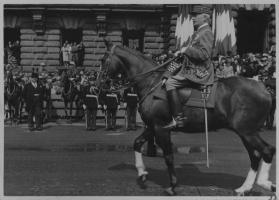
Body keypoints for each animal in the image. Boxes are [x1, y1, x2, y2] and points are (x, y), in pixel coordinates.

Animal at [102, 40, 276, 195]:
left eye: (104, 61)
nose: (100, 84)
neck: (152, 83)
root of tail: (264, 88)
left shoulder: (160, 128)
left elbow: (168, 156)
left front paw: (172, 186)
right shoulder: (153, 126)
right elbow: (137, 143)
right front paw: (142, 173)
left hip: (247, 131)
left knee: (267, 150)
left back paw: (264, 183)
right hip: (245, 132)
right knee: (255, 156)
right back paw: (245, 188)